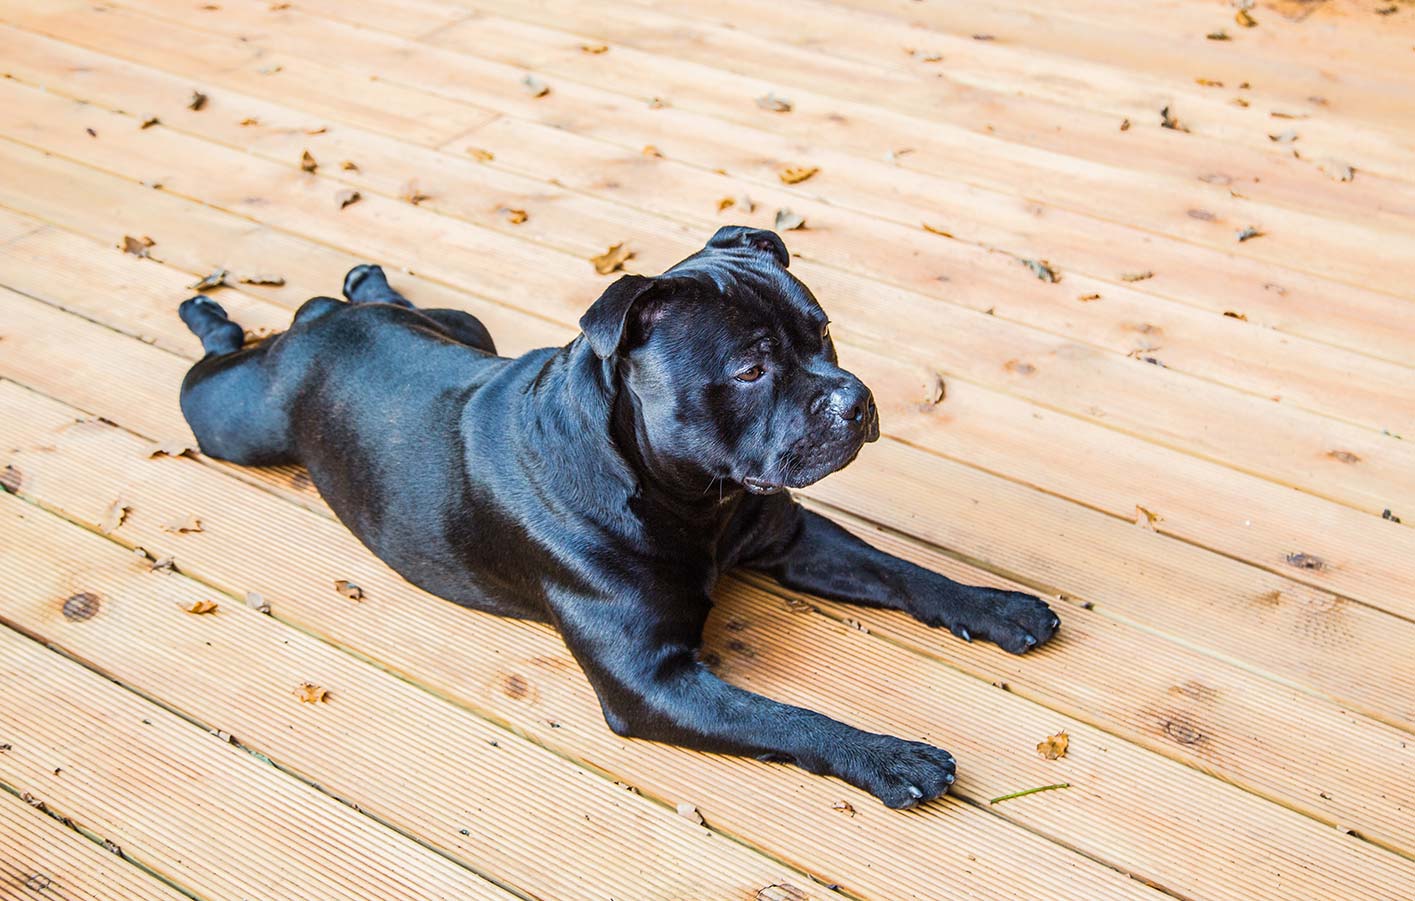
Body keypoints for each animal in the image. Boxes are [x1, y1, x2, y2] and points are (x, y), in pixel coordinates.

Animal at [179, 226, 1052, 809]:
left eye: (824, 334)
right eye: (750, 368)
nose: (856, 399)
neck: (690, 497)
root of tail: (320, 323)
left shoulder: (791, 536)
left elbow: (904, 571)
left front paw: (998, 606)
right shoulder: (651, 679)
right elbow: (783, 716)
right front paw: (888, 755)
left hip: (461, 326)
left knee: (380, 299)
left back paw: (368, 279)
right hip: (231, 420)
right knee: (213, 363)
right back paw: (210, 314)